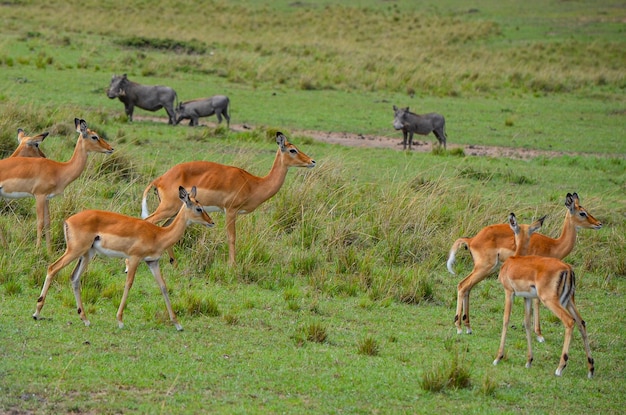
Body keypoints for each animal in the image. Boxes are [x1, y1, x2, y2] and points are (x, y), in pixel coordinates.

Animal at [0, 118, 113, 252]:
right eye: (94, 136)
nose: (111, 148)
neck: (59, 169)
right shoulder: (39, 196)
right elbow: (40, 222)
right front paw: (37, 250)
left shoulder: (47, 198)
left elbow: (48, 222)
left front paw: (49, 251)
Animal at [34, 187, 214, 334]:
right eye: (199, 208)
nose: (211, 222)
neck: (158, 235)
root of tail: (68, 220)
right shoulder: (134, 258)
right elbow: (128, 284)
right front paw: (120, 320)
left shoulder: (152, 262)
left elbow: (163, 286)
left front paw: (178, 324)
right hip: (75, 251)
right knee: (52, 268)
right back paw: (36, 313)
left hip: (86, 254)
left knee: (74, 278)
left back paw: (85, 319)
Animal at [142, 132, 316, 266]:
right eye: (292, 150)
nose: (312, 161)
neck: (254, 184)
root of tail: (159, 179)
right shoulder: (231, 210)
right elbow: (232, 237)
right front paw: (232, 265)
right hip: (167, 208)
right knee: (148, 221)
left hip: (175, 211)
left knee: (164, 227)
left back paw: (174, 262)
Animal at [446, 194, 596, 338]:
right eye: (582, 213)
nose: (598, 224)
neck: (553, 245)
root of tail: (472, 240)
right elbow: (536, 302)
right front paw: (538, 333)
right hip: (484, 268)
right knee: (462, 285)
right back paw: (459, 328)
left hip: (487, 269)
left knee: (467, 287)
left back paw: (468, 327)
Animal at [490, 213, 592, 378]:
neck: (514, 260)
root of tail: (567, 269)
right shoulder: (527, 297)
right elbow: (527, 323)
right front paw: (529, 361)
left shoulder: (509, 292)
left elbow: (506, 320)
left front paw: (498, 358)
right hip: (569, 301)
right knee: (581, 322)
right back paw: (590, 369)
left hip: (551, 301)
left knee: (570, 322)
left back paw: (560, 368)